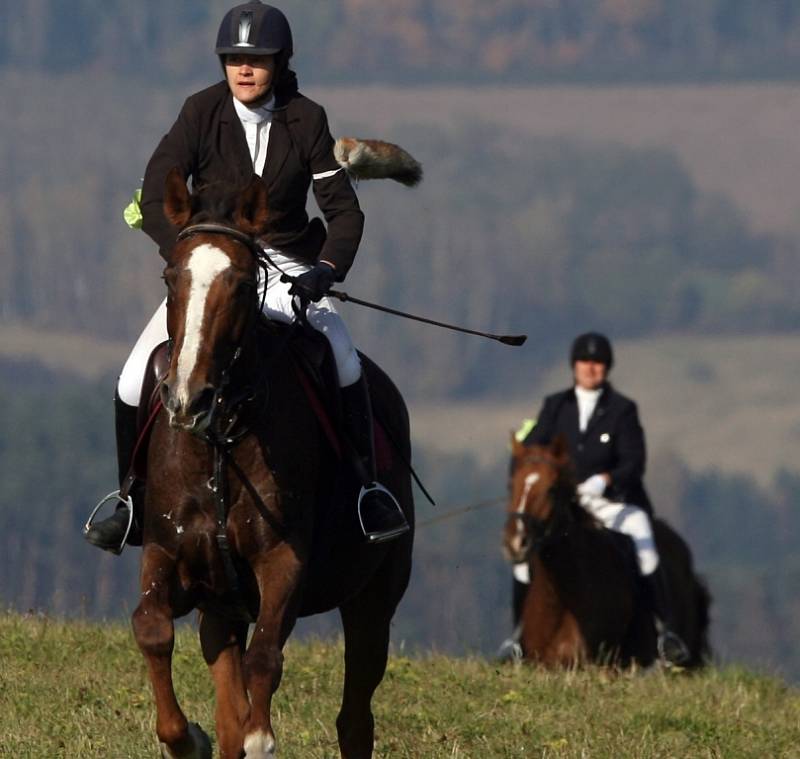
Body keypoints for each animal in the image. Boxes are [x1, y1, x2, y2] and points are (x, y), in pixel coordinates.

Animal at [130, 171, 412, 759]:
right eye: (171, 277)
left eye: (240, 284)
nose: (187, 399)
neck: (219, 441)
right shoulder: (166, 549)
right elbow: (151, 629)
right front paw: (187, 738)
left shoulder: (283, 561)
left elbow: (265, 661)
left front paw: (257, 737)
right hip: (223, 602)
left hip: (374, 600)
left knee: (355, 714)